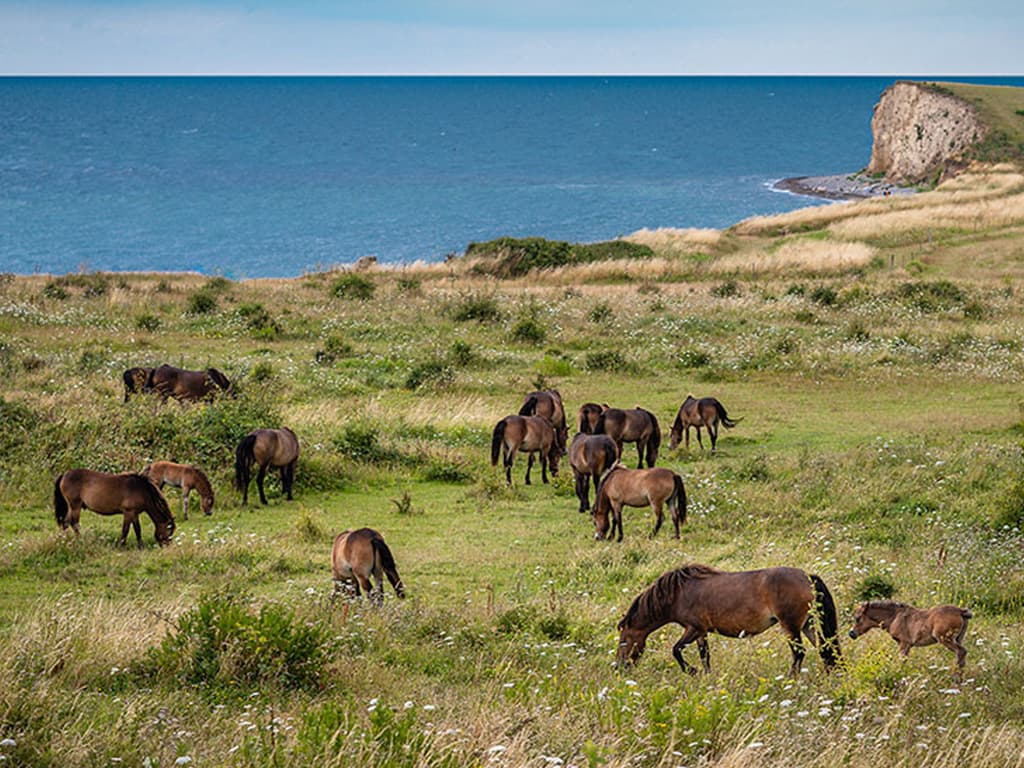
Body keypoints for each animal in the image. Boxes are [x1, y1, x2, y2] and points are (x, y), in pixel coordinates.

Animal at [617, 564, 841, 677]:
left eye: (624, 641)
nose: (619, 667)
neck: (678, 593)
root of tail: (807, 577)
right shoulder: (701, 632)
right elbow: (705, 656)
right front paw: (706, 677)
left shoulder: (693, 628)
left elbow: (676, 650)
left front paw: (692, 671)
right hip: (807, 625)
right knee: (825, 649)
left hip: (791, 626)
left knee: (799, 653)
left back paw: (790, 681)